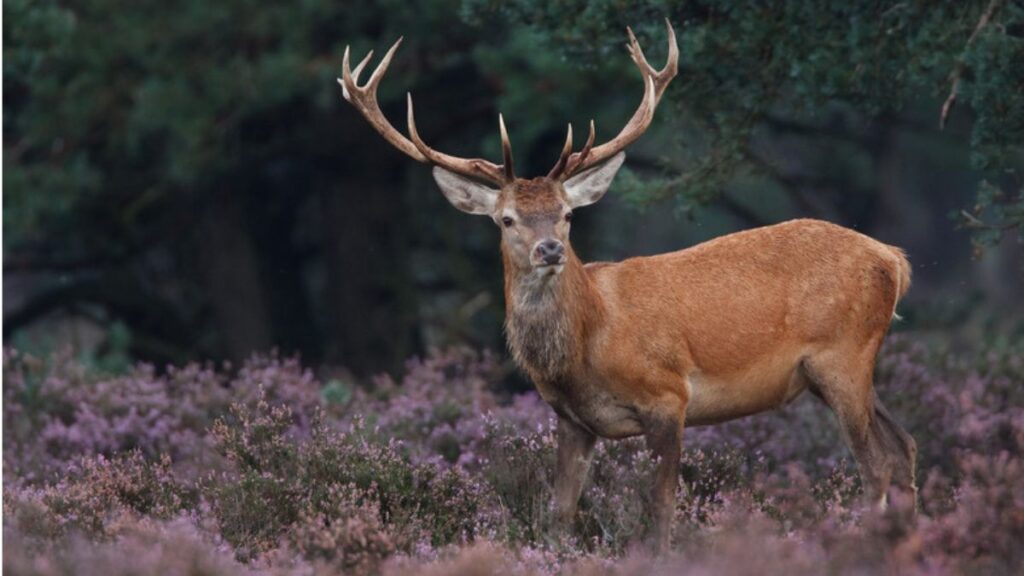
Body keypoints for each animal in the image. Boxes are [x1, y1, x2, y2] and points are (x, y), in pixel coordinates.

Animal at [338, 20, 918, 553]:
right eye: (506, 219)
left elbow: (659, 506)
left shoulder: (668, 395)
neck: (588, 342)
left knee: (876, 464)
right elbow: (560, 512)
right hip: (845, 366)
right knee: (904, 446)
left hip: (841, 354)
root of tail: (894, 259)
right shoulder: (572, 420)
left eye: (567, 214)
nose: (549, 249)